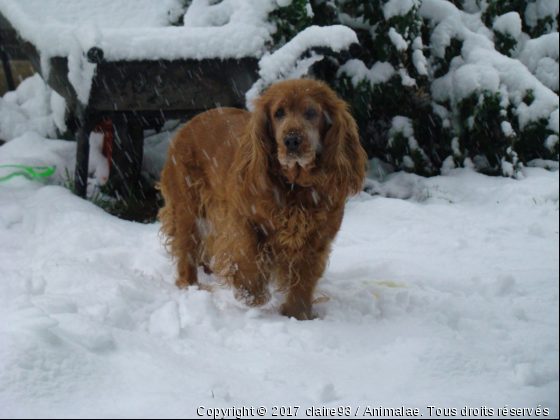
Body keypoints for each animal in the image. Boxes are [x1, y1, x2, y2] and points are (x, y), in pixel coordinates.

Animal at [158, 79, 368, 320]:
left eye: (311, 112)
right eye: (279, 113)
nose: (292, 139)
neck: (295, 188)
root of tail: (187, 125)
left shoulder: (317, 239)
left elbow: (304, 281)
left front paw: (298, 315)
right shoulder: (243, 219)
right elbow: (247, 256)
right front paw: (250, 294)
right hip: (188, 210)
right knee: (187, 254)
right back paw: (191, 288)